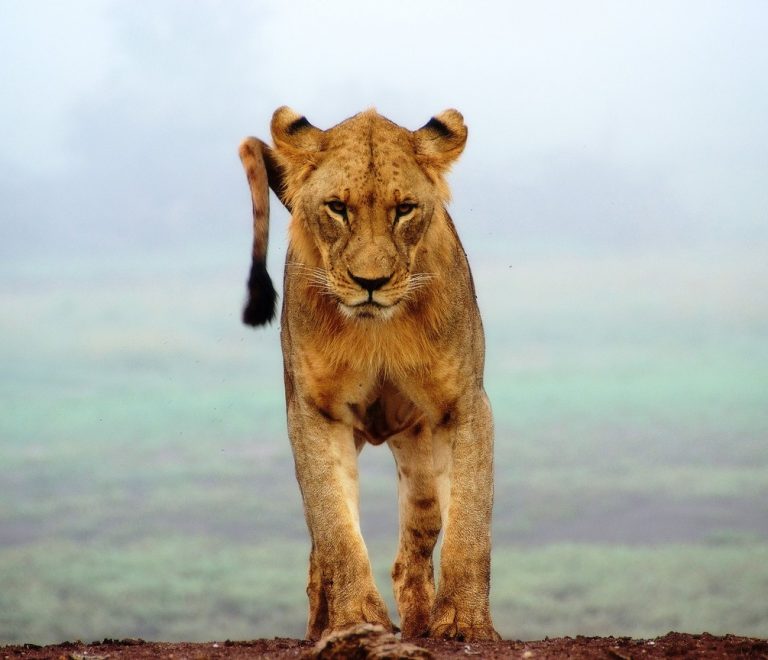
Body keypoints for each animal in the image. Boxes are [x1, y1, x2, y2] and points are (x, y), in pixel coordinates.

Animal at [238, 107, 499, 642]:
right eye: (338, 208)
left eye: (404, 210)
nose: (371, 283)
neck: (378, 331)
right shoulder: (315, 413)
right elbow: (336, 528)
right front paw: (356, 620)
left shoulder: (464, 405)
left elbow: (470, 521)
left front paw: (464, 623)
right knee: (320, 554)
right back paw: (321, 625)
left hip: (418, 454)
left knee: (415, 546)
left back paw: (419, 624)